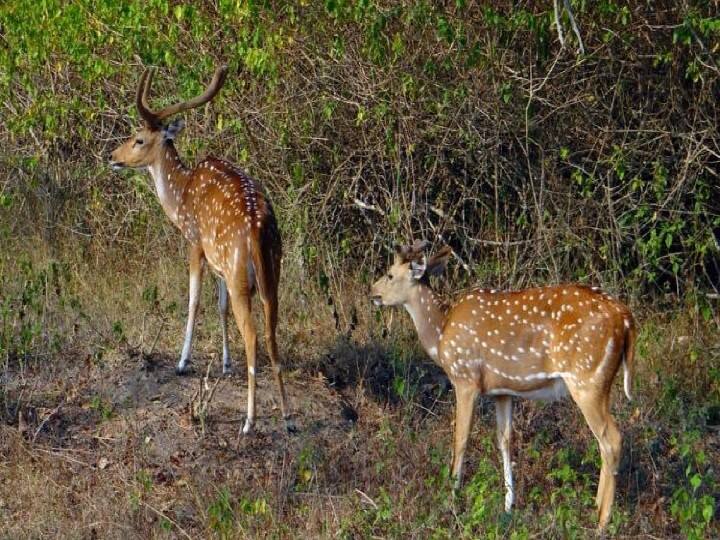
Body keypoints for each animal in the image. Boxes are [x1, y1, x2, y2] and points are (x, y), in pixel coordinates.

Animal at [111, 64, 292, 434]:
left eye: (138, 139)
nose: (113, 157)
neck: (179, 197)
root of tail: (257, 229)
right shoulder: (218, 259)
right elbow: (219, 306)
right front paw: (224, 363)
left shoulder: (195, 241)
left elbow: (194, 299)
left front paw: (182, 361)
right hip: (271, 273)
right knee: (271, 332)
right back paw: (287, 417)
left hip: (241, 275)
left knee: (253, 334)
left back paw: (249, 421)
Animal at [372, 239, 636, 528]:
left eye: (390, 274)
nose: (373, 292)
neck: (440, 333)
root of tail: (626, 319)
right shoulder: (503, 391)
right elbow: (504, 440)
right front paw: (508, 505)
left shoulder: (465, 379)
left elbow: (460, 438)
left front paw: (452, 497)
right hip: (598, 381)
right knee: (603, 442)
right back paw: (595, 507)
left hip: (587, 379)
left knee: (612, 439)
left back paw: (601, 522)